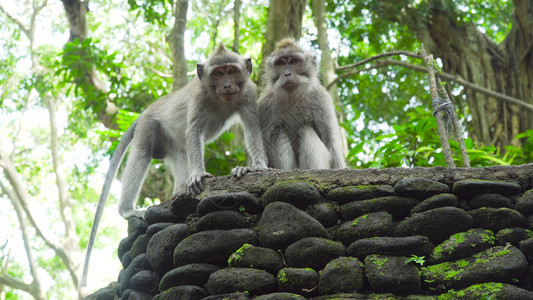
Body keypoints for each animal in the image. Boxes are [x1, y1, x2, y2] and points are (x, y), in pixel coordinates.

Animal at [79, 45, 268, 288]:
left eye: (232, 71)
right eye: (218, 73)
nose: (227, 85)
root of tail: (149, 108)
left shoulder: (249, 94)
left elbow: (252, 128)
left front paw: (256, 166)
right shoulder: (199, 97)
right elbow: (194, 131)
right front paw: (198, 174)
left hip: (170, 142)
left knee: (182, 153)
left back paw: (179, 191)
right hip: (149, 125)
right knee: (142, 154)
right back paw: (127, 209)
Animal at [256, 37, 344, 170]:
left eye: (294, 61)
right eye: (280, 63)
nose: (287, 74)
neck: (292, 96)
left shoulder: (320, 99)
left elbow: (330, 141)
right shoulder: (265, 105)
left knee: (306, 128)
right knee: (279, 130)